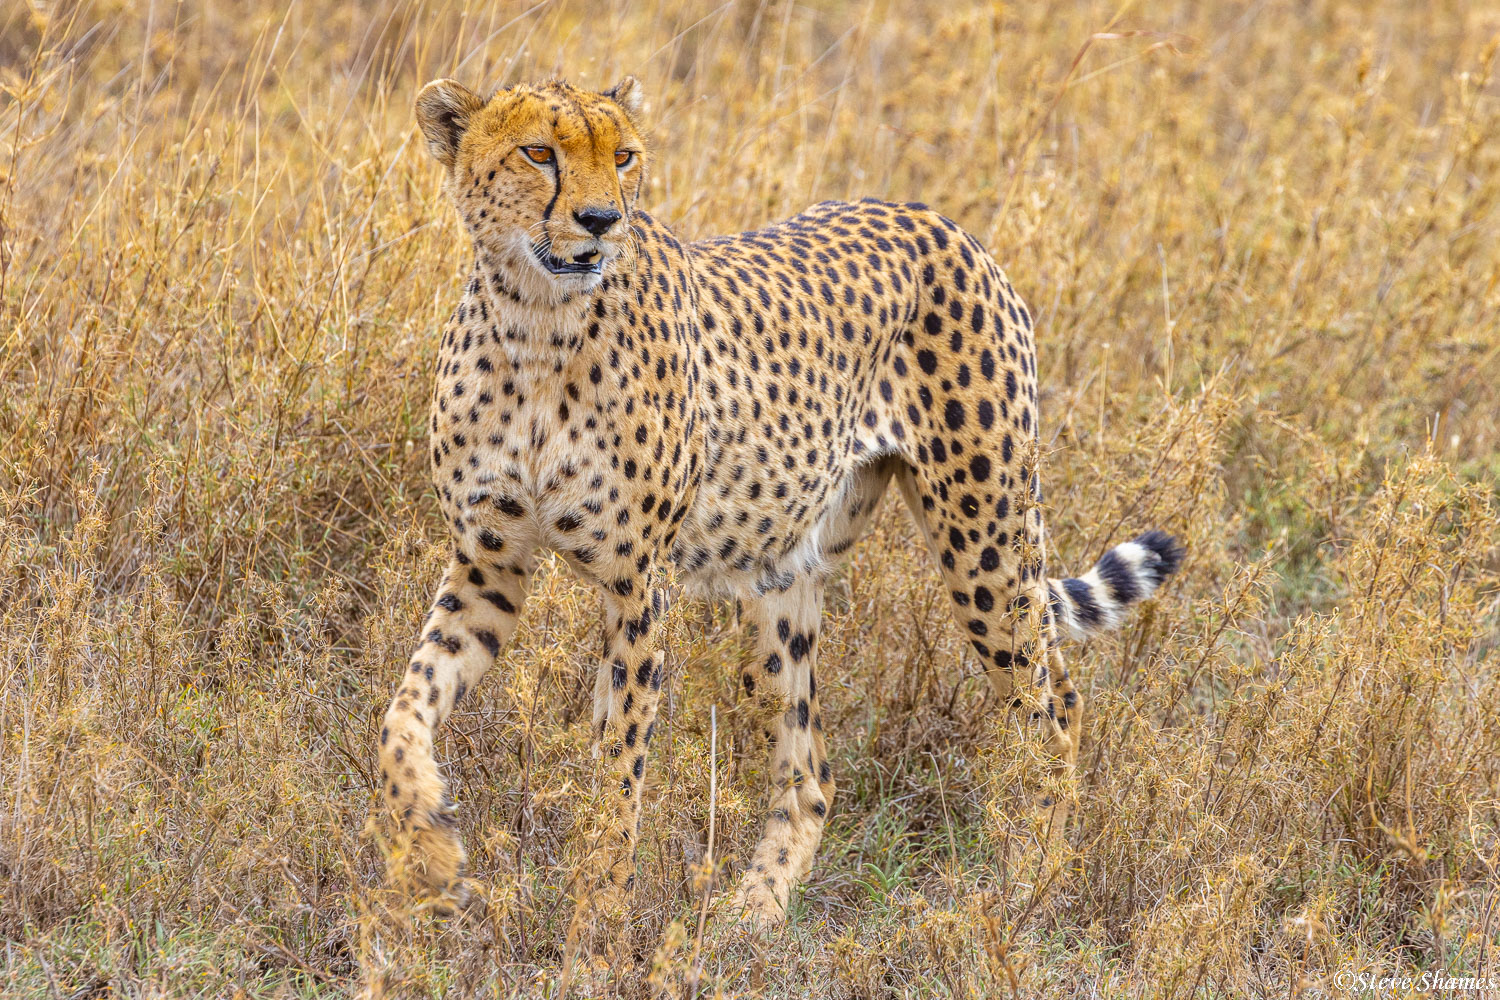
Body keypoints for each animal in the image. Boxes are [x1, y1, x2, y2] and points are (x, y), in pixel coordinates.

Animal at [384, 76, 1182, 929]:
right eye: (539, 151)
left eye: (624, 156)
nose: (601, 221)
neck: (535, 326)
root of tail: (937, 220)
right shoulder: (488, 564)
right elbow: (402, 711)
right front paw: (427, 841)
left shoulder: (638, 585)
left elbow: (617, 776)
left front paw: (595, 924)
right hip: (782, 581)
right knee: (812, 769)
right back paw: (755, 911)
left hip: (986, 543)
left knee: (1054, 706)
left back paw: (1029, 883)